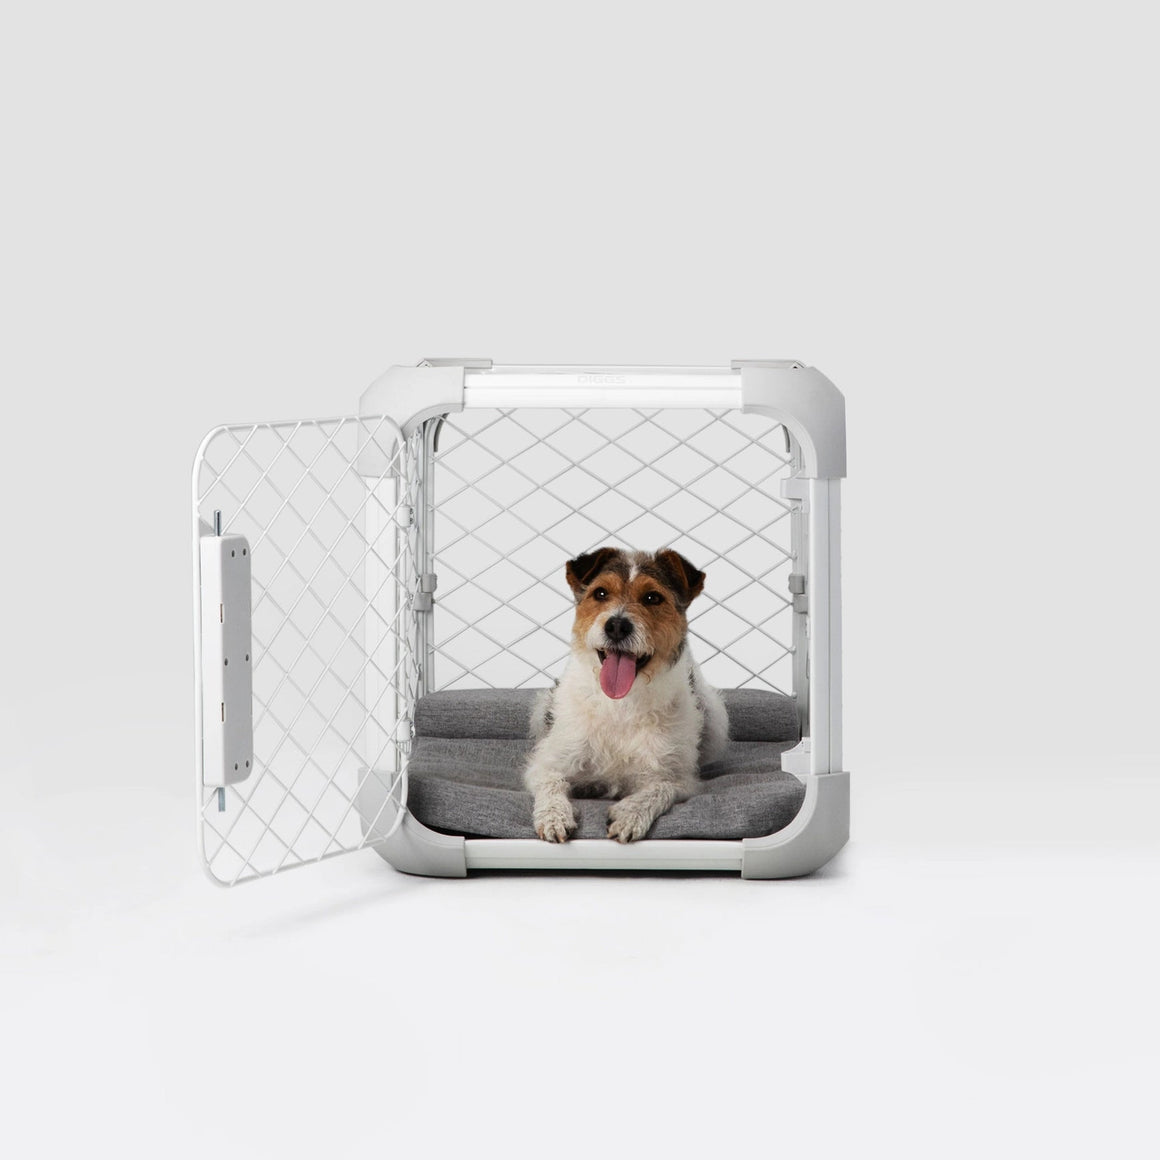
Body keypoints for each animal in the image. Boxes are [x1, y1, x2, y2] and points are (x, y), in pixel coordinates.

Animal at [524, 545, 723, 844]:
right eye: (600, 593)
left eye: (652, 597)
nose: (617, 625)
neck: (621, 704)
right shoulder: (546, 763)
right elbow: (551, 784)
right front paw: (554, 818)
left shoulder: (680, 778)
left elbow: (660, 788)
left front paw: (630, 816)